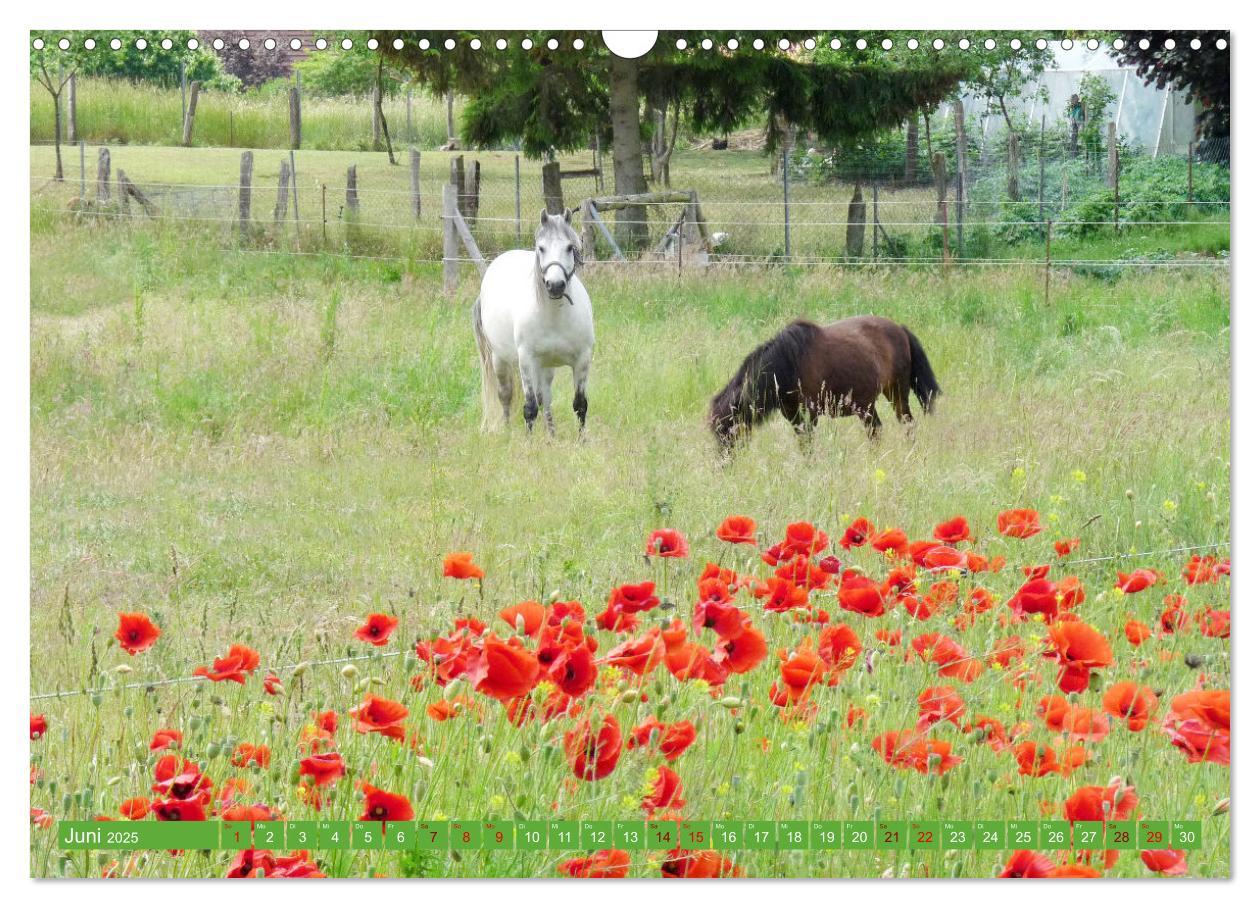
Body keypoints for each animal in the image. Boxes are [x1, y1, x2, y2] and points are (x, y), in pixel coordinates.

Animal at [473, 207, 594, 433]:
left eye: (569, 247)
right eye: (541, 248)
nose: (555, 285)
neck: (555, 317)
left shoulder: (582, 360)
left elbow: (580, 405)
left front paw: (582, 439)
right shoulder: (527, 361)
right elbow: (529, 408)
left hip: (546, 366)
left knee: (544, 397)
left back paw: (551, 434)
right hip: (499, 359)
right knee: (506, 395)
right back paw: (508, 431)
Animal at [710, 314, 937, 450]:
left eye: (725, 430)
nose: (723, 465)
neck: (788, 364)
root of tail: (900, 329)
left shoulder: (809, 417)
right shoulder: (794, 417)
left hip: (897, 393)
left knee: (907, 423)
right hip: (867, 405)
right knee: (876, 430)